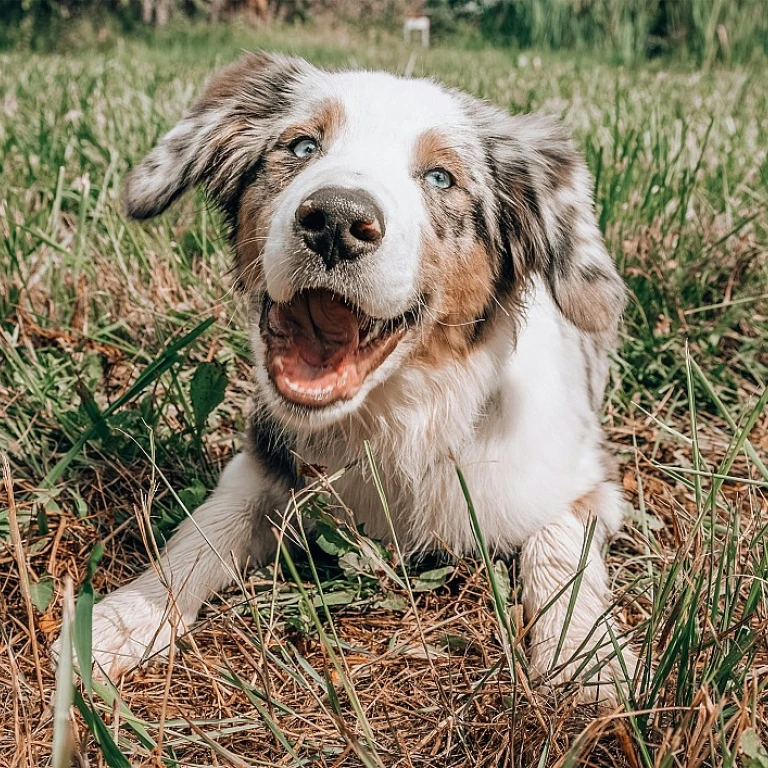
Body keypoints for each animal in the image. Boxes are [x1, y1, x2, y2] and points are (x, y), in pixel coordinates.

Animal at [58, 52, 636, 704]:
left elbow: (560, 550)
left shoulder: (584, 478)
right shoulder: (263, 461)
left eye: (441, 178)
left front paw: (587, 659)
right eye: (303, 145)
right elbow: (202, 532)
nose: (334, 220)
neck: (396, 419)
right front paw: (120, 619)